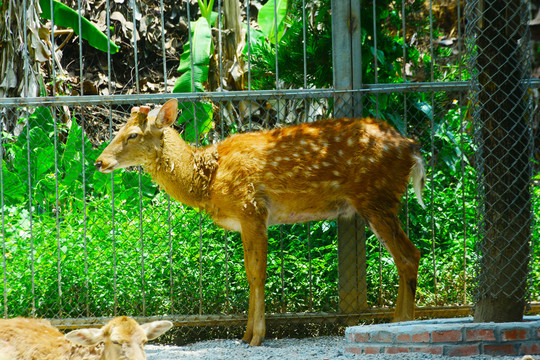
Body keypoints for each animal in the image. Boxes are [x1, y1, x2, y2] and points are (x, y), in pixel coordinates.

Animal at [96, 98, 426, 346]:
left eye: (133, 135)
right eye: (118, 130)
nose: (99, 161)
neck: (208, 180)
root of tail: (411, 147)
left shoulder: (251, 208)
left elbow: (257, 274)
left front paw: (256, 337)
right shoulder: (247, 219)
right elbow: (249, 274)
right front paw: (245, 335)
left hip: (376, 198)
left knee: (409, 254)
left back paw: (401, 324)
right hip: (378, 200)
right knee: (405, 256)